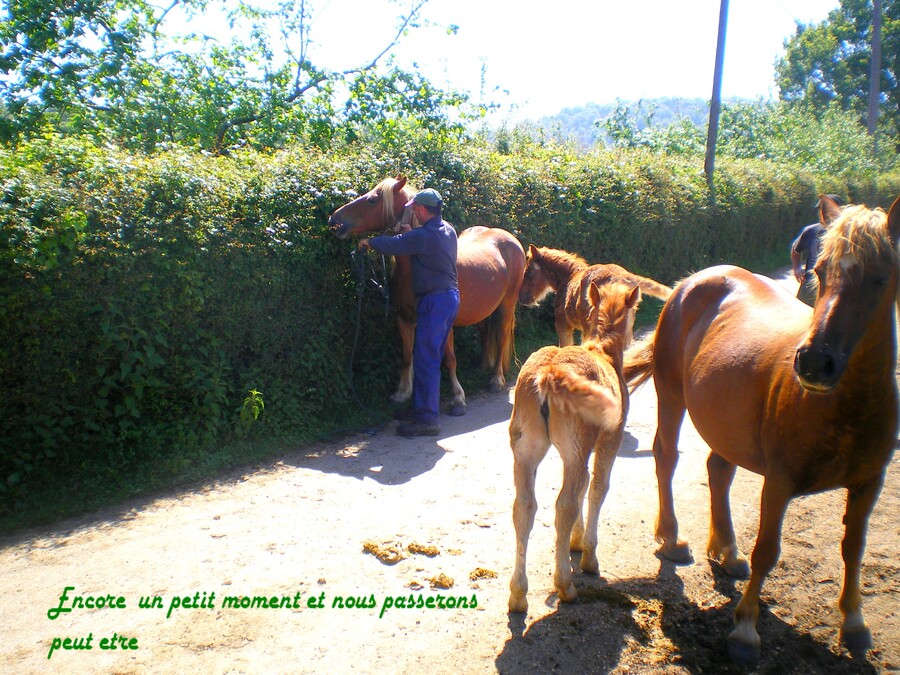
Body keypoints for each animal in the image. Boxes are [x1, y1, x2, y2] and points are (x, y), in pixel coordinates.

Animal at [328, 177, 528, 414]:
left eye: (373, 199)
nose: (334, 220)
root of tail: (510, 238)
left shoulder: (445, 323)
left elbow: (449, 358)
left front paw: (457, 397)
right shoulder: (404, 319)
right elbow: (407, 356)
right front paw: (401, 393)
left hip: (506, 305)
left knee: (502, 335)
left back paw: (496, 379)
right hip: (484, 307)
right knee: (486, 331)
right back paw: (482, 366)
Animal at [510, 280, 644, 612]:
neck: (604, 352)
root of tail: (550, 372)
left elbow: (583, 488)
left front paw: (574, 540)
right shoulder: (610, 440)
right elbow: (597, 488)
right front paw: (588, 555)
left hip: (526, 450)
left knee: (524, 508)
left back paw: (518, 595)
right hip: (577, 449)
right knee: (565, 504)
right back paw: (565, 585)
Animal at [624, 195, 900, 664]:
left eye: (881, 277)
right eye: (820, 271)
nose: (814, 363)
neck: (846, 405)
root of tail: (696, 279)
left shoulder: (870, 482)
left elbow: (854, 549)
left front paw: (854, 624)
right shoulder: (780, 480)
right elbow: (768, 550)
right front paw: (745, 629)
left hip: (724, 424)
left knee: (718, 470)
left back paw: (727, 551)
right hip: (671, 393)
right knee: (666, 457)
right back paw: (673, 538)